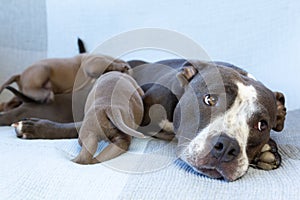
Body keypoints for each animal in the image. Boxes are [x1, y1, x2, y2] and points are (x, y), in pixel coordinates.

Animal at [0, 53, 129, 103]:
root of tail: (20, 76)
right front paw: (121, 66)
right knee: (30, 88)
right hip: (42, 68)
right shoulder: (93, 63)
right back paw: (45, 94)